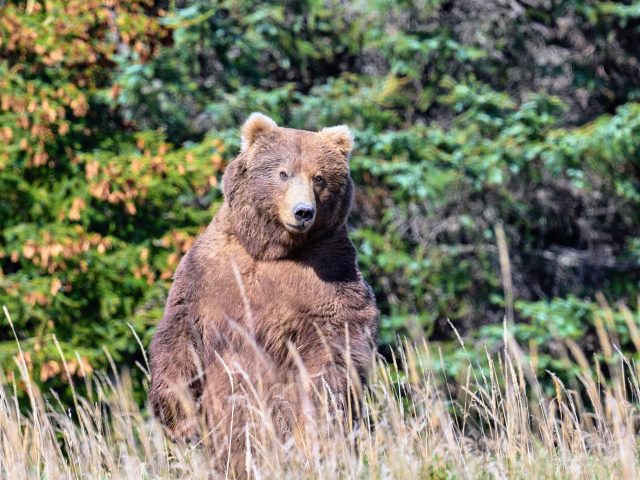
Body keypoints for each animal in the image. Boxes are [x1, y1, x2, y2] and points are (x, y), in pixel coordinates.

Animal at [148, 113, 379, 465]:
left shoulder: (329, 273)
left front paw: (313, 421)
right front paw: (180, 422)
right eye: (283, 172)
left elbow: (336, 342)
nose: (303, 211)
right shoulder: (209, 270)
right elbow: (180, 331)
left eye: (319, 178)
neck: (270, 248)